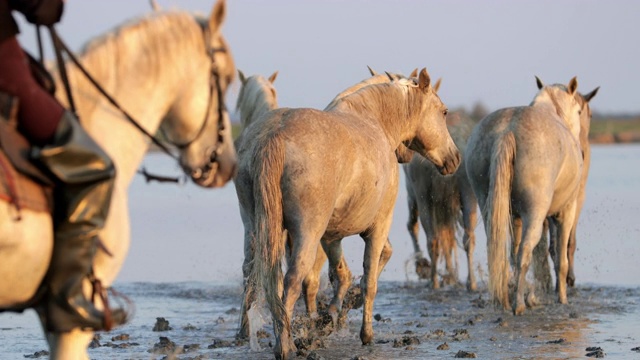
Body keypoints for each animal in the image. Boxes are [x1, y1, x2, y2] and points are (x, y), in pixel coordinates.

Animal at [240, 69, 460, 358]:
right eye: (444, 112)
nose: (455, 159)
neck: (374, 120)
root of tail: (275, 134)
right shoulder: (378, 227)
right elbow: (370, 280)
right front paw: (366, 334)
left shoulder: (331, 235)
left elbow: (342, 274)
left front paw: (331, 315)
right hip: (306, 234)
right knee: (293, 280)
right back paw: (285, 346)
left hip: (255, 228)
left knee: (254, 274)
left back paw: (246, 332)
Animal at [402, 109, 478, 290]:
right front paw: (450, 276)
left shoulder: (415, 193)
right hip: (467, 191)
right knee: (467, 237)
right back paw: (470, 283)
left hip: (421, 195)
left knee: (428, 235)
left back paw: (432, 280)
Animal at [464, 76, 584, 316]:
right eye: (578, 111)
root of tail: (507, 131)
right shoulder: (566, 211)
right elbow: (561, 260)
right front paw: (563, 299)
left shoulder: (515, 217)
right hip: (535, 214)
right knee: (525, 253)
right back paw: (519, 304)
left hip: (488, 205)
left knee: (500, 253)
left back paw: (506, 298)